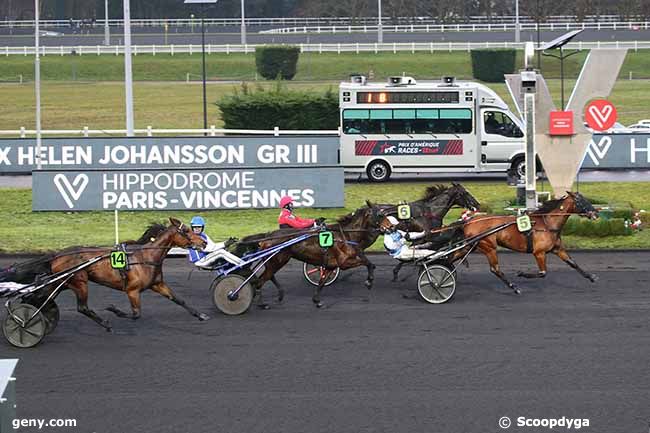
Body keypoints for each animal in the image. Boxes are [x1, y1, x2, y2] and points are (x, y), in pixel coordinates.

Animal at [24, 218, 206, 332]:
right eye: (187, 231)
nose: (203, 242)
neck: (146, 257)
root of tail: (57, 255)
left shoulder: (157, 284)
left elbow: (178, 299)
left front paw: (201, 315)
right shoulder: (132, 291)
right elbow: (136, 314)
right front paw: (113, 309)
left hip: (62, 283)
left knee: (41, 297)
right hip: (79, 282)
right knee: (82, 307)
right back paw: (106, 324)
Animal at [238, 202, 390, 308]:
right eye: (380, 214)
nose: (391, 226)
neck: (345, 235)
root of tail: (267, 236)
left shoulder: (331, 265)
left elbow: (322, 282)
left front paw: (317, 300)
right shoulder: (344, 262)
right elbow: (369, 263)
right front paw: (369, 281)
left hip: (275, 262)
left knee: (267, 277)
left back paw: (278, 294)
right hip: (277, 261)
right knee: (260, 281)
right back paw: (260, 303)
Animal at [460, 192, 596, 294]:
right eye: (581, 201)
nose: (595, 213)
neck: (548, 224)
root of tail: (469, 222)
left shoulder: (557, 249)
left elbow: (573, 263)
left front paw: (591, 277)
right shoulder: (539, 252)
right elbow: (542, 273)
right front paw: (521, 273)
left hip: (473, 246)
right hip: (489, 246)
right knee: (495, 269)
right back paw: (514, 287)